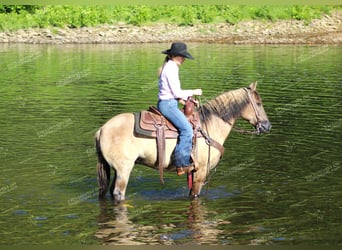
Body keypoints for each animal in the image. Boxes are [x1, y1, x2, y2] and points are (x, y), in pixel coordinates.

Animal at [95, 82, 272, 203]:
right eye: (258, 103)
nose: (267, 126)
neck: (210, 125)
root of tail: (102, 129)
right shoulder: (201, 171)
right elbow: (195, 195)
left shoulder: (193, 172)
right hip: (124, 169)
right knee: (118, 193)